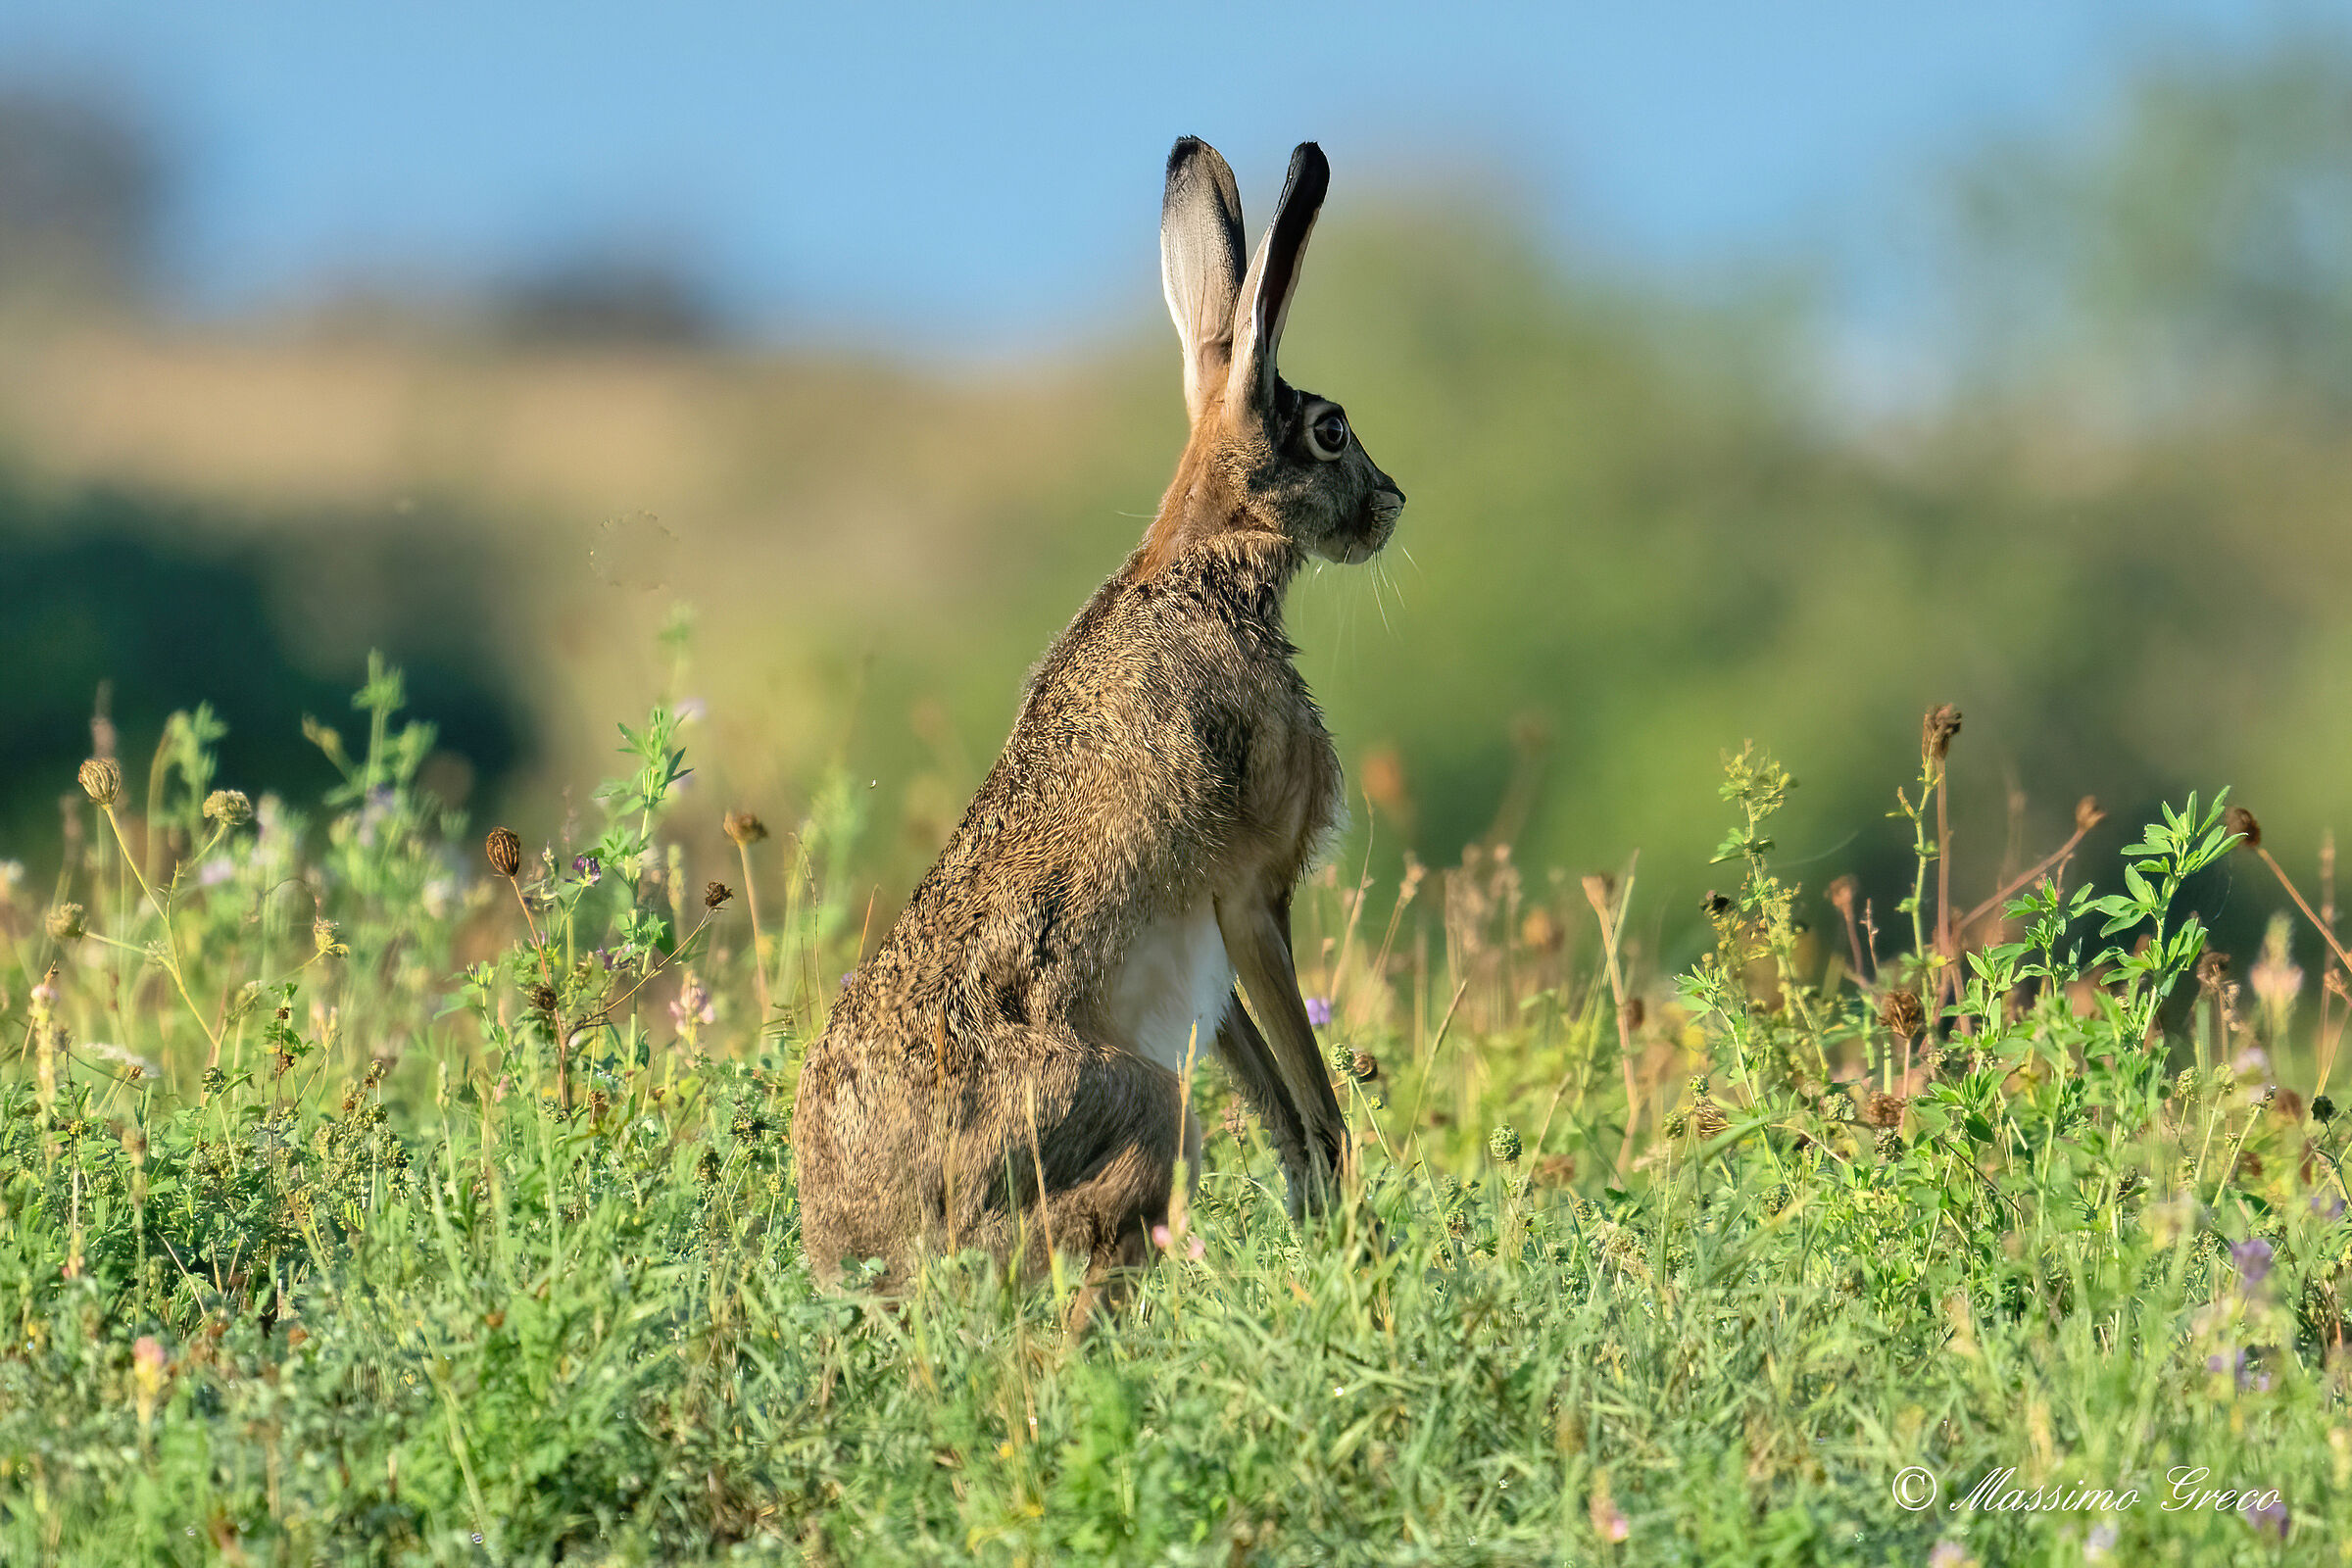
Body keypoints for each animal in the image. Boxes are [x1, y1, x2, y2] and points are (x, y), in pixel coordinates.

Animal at [793, 137, 1405, 1301]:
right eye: (1332, 431)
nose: (1394, 503)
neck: (1209, 561)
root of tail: (870, 1249)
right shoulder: (1251, 897)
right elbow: (1314, 1105)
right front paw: (1348, 1227)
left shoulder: (1212, 946)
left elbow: (1274, 1103)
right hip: (1142, 1111)